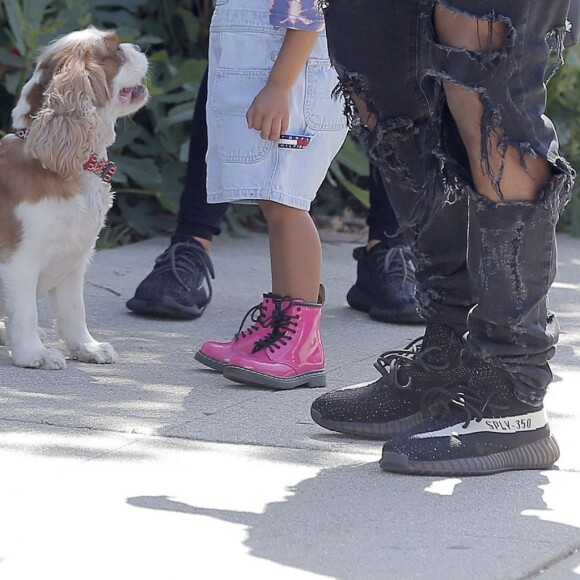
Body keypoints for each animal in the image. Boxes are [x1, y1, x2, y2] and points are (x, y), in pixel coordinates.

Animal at [1, 27, 150, 370]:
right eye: (115, 50)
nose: (138, 46)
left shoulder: (74, 258)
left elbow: (73, 310)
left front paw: (86, 347)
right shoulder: (18, 260)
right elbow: (25, 312)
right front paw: (35, 354)